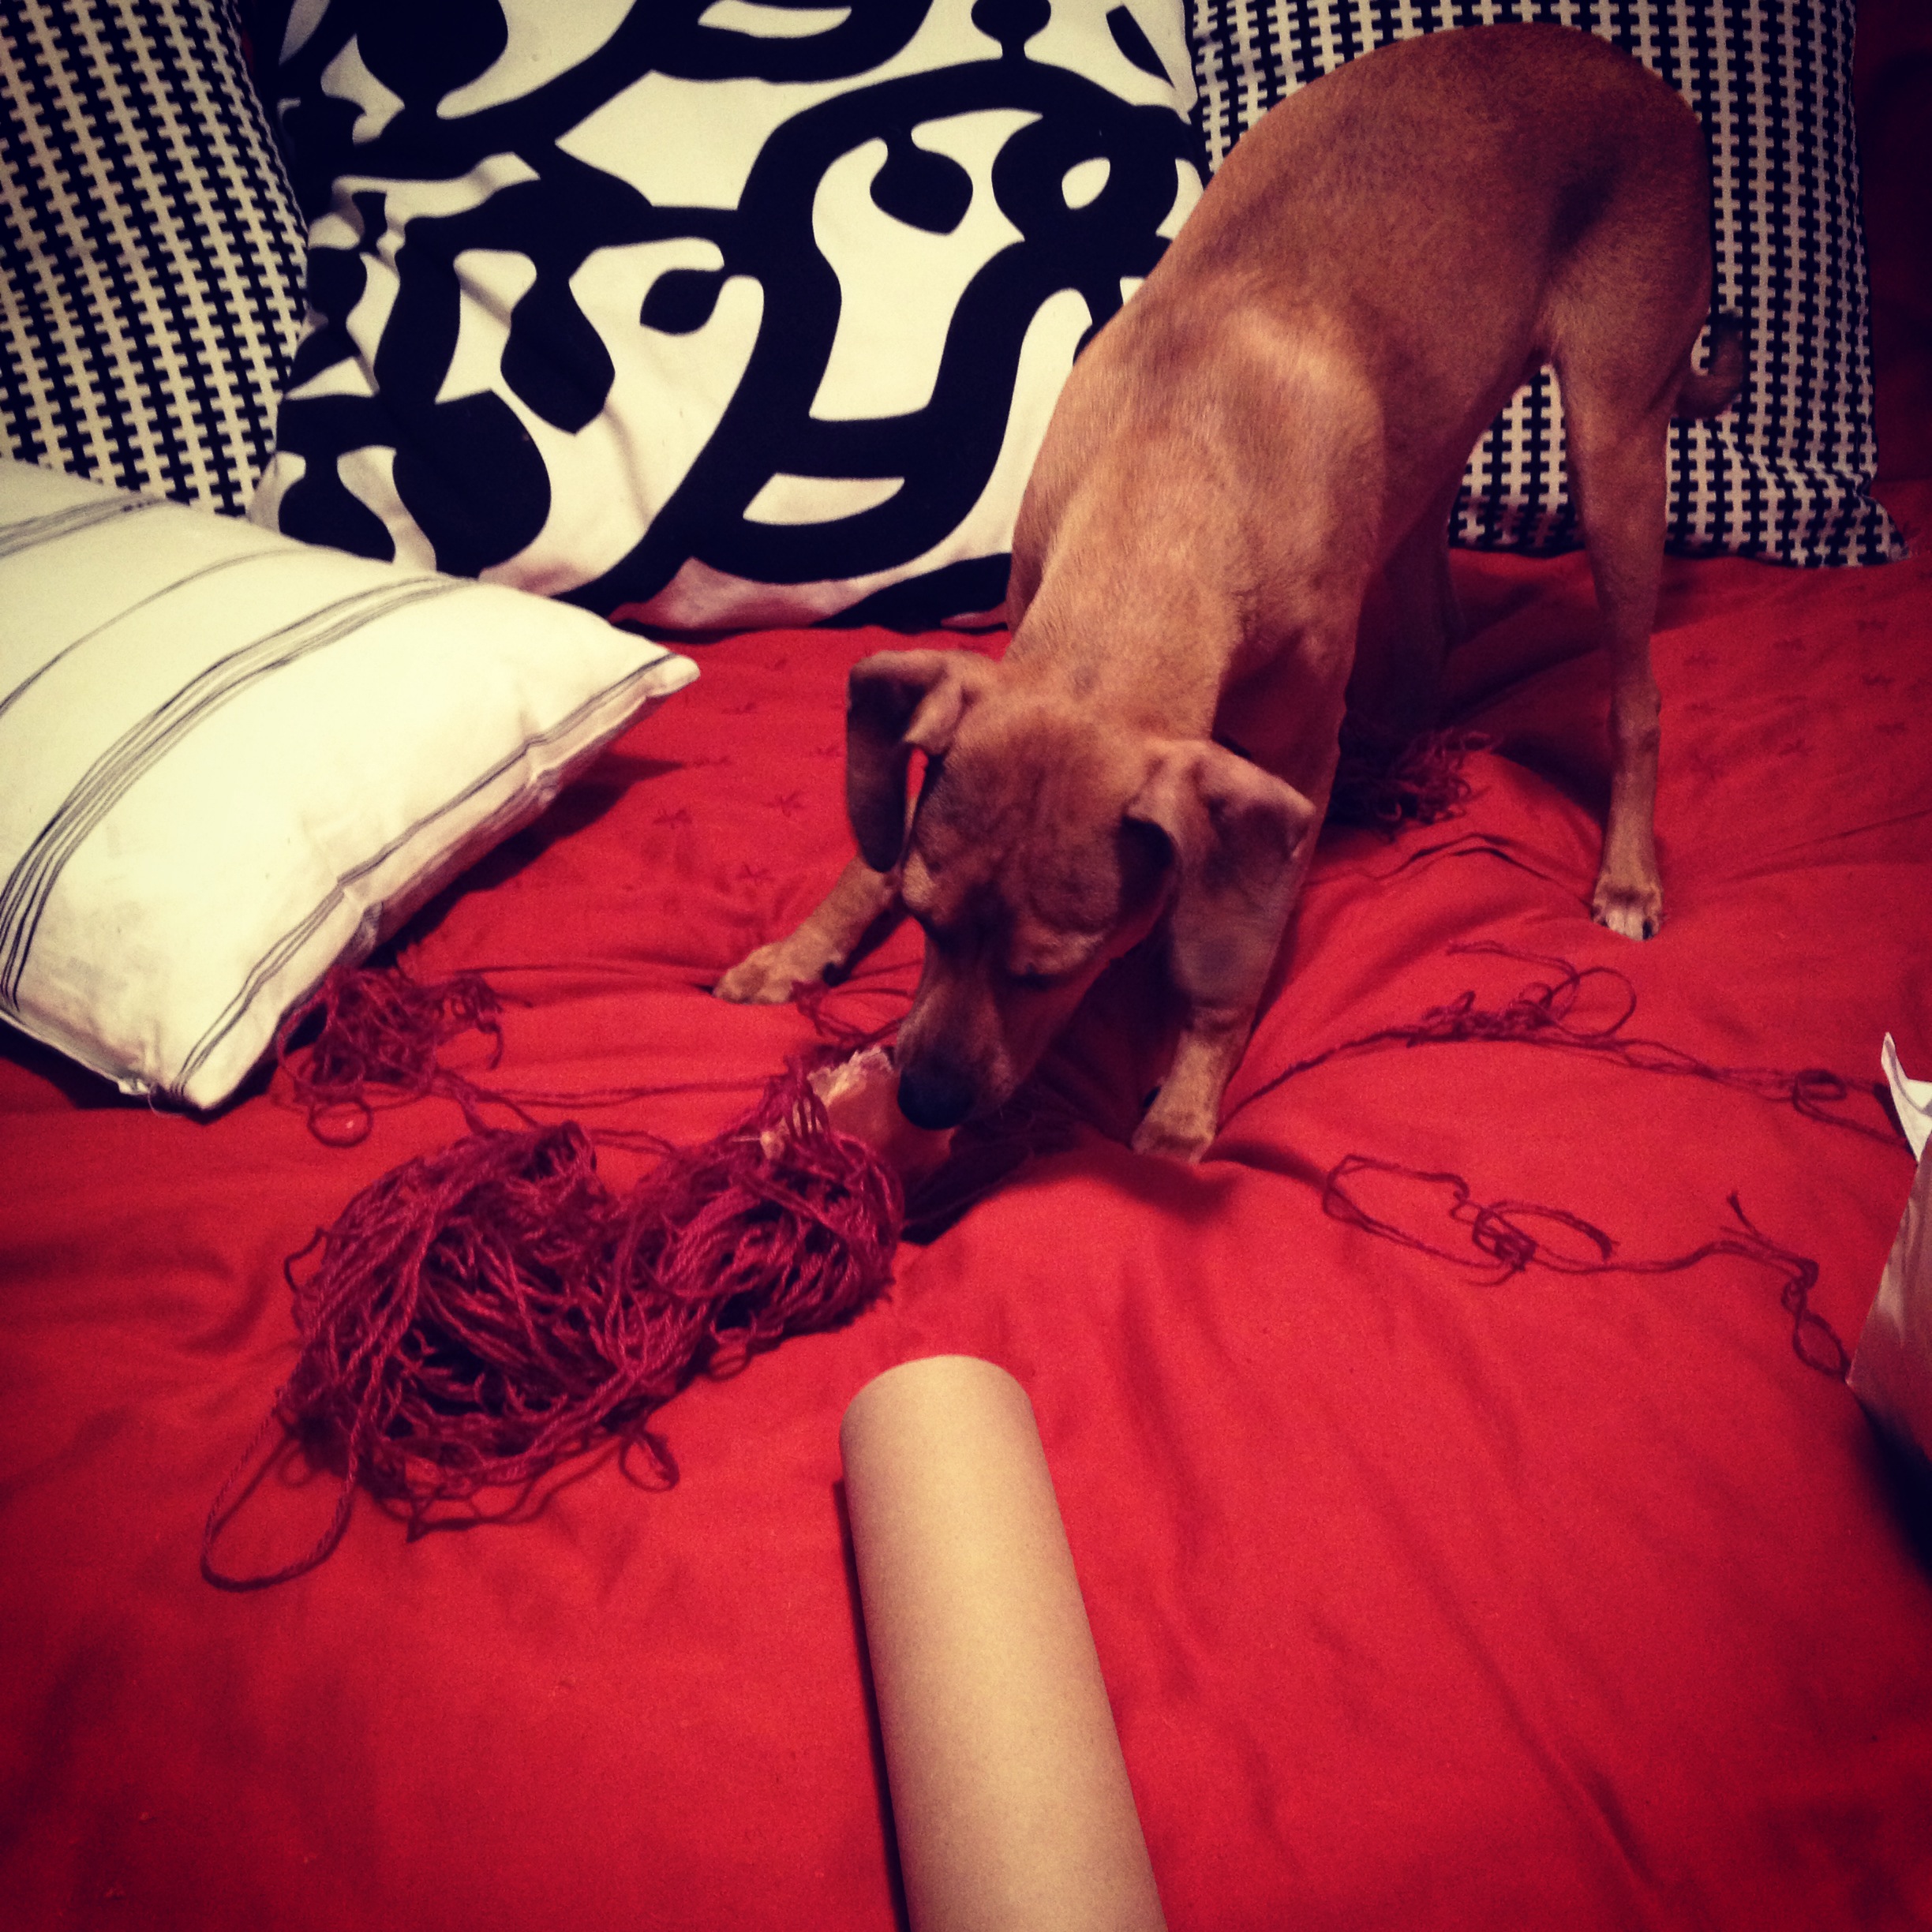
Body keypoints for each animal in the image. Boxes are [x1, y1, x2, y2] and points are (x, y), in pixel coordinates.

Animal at [716, 23, 1744, 1161]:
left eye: (1058, 970)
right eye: (928, 925)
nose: (925, 1105)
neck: (1171, 468)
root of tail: (1634, 71)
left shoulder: (1288, 769)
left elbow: (1235, 956)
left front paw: (1186, 1105)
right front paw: (799, 950)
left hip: (1615, 444)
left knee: (1635, 695)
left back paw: (1627, 873)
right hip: (1431, 444)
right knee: (1433, 622)